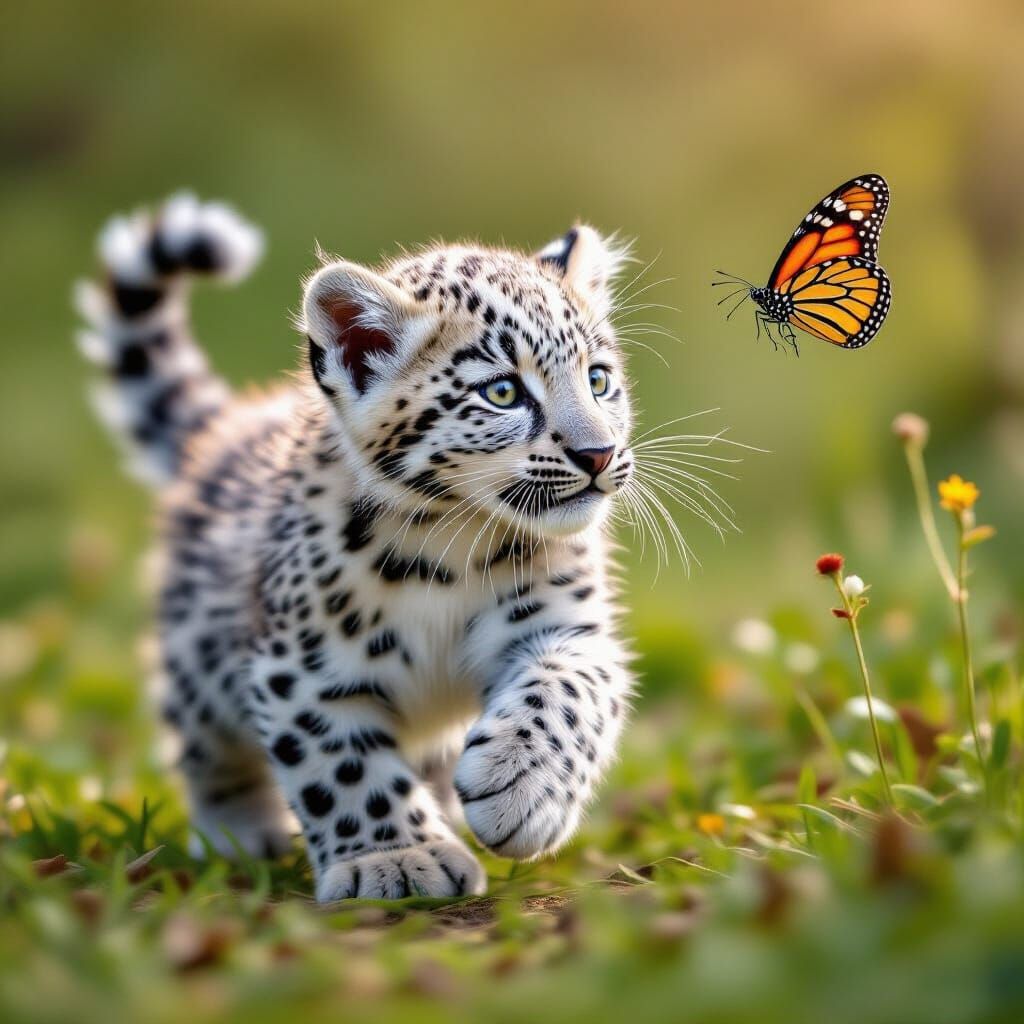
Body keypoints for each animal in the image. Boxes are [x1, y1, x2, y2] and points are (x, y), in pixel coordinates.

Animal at [75, 193, 641, 901]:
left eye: (598, 380)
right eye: (503, 391)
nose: (599, 453)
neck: (450, 540)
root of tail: (227, 427)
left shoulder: (565, 624)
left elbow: (571, 688)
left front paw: (521, 790)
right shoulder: (302, 670)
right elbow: (342, 768)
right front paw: (396, 858)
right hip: (198, 660)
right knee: (209, 752)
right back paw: (240, 836)